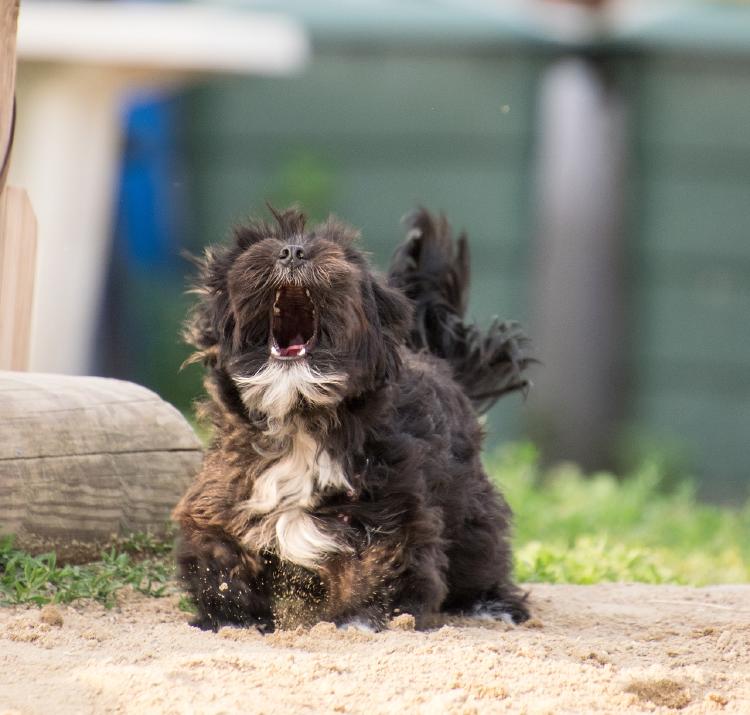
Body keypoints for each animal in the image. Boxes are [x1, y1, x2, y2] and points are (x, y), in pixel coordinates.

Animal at [172, 207, 536, 632]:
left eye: (343, 253)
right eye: (255, 243)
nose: (292, 251)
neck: (301, 420)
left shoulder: (390, 509)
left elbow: (379, 566)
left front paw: (358, 620)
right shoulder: (224, 495)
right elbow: (220, 560)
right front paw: (231, 619)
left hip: (468, 509)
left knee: (481, 554)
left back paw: (492, 605)